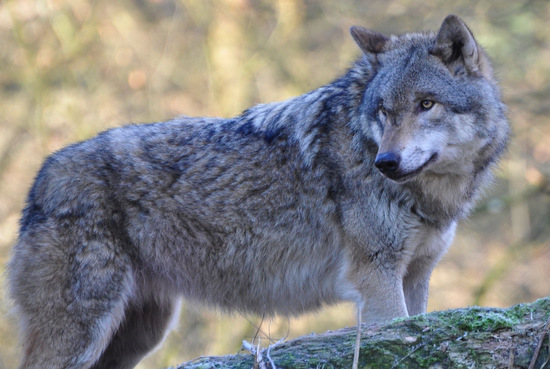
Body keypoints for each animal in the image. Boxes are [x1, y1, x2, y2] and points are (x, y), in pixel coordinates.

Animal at [8, 15, 512, 368]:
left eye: (426, 104)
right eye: (384, 111)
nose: (385, 163)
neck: (432, 196)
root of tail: (41, 177)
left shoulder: (417, 276)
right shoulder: (377, 277)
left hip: (140, 335)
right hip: (85, 332)